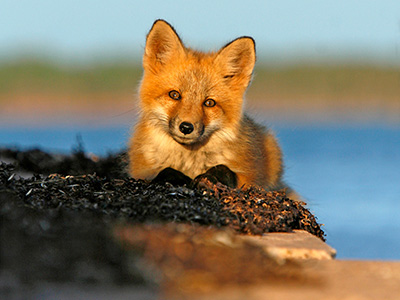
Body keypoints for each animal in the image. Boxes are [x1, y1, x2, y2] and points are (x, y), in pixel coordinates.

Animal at [128, 20, 296, 199]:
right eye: (174, 95)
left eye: (209, 103)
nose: (186, 127)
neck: (190, 160)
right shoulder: (144, 171)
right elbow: (165, 171)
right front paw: (177, 177)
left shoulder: (250, 175)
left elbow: (225, 169)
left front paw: (209, 178)